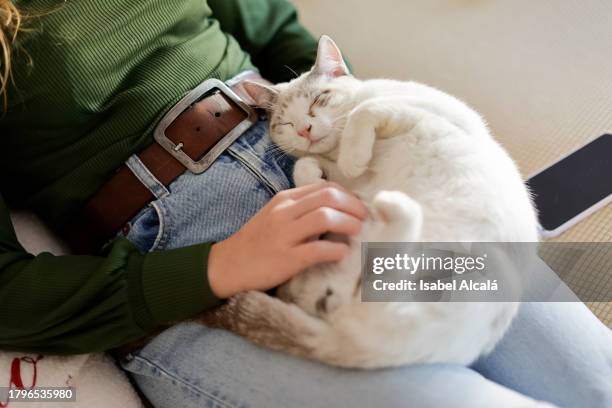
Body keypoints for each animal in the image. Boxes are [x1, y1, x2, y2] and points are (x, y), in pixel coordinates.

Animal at [198, 35, 536, 370]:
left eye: (318, 100)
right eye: (284, 123)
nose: (304, 129)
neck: (336, 150)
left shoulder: (420, 110)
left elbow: (365, 110)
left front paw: (351, 159)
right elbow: (306, 165)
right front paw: (323, 178)